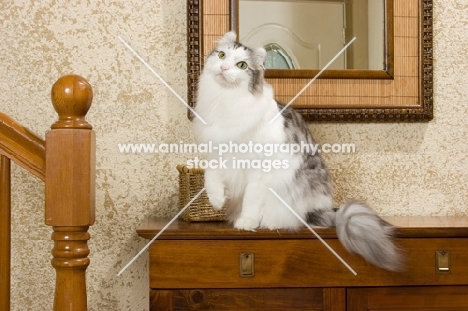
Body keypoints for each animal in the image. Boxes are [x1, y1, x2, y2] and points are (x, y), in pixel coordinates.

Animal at [191, 30, 402, 272]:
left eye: (242, 65)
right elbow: (211, 178)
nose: (224, 68)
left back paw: (270, 223)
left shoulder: (259, 169)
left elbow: (252, 200)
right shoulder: (216, 152)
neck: (226, 103)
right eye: (222, 55)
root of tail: (324, 209)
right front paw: (217, 200)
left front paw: (246, 222)